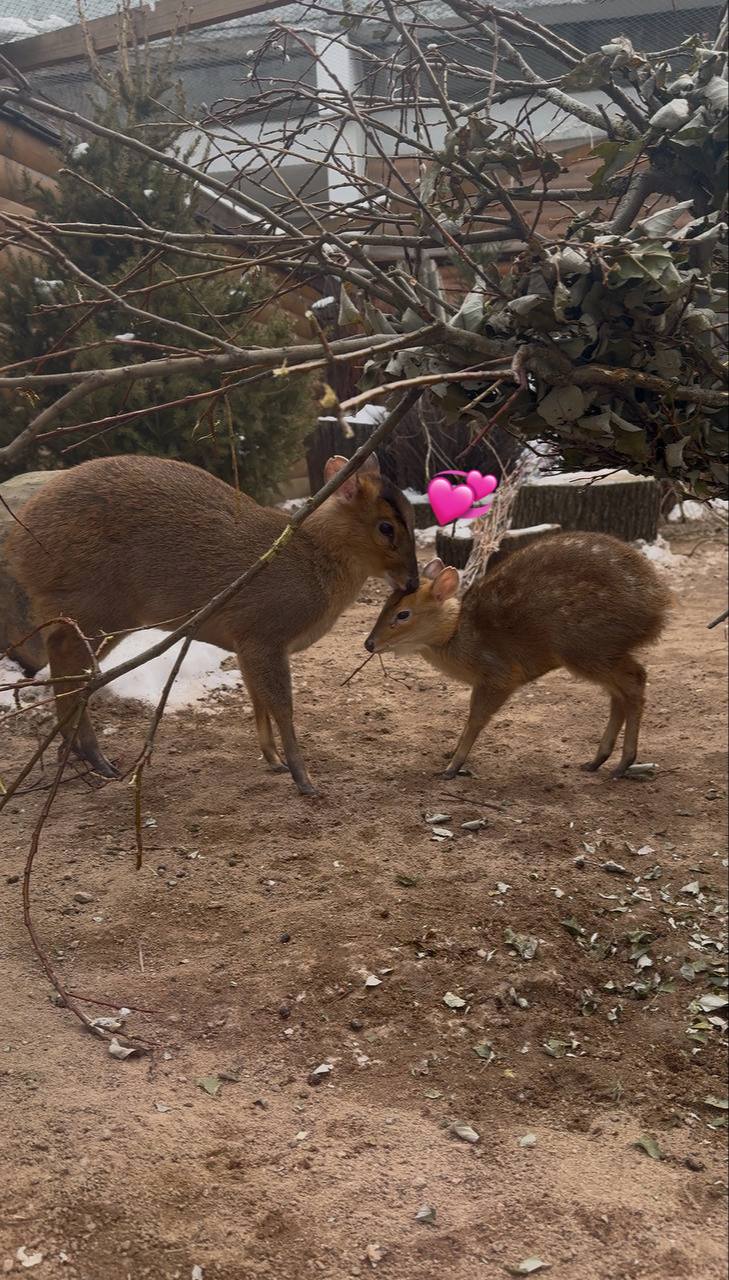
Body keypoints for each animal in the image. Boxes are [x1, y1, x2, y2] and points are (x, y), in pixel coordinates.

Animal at [5, 450, 416, 788]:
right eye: (386, 527)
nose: (412, 582)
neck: (313, 560)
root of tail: (17, 546)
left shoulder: (245, 643)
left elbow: (257, 700)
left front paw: (274, 760)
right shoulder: (264, 633)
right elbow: (281, 706)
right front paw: (304, 778)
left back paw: (79, 754)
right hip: (93, 604)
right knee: (67, 664)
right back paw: (93, 757)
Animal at [363, 529, 670, 778]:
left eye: (403, 614)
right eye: (386, 603)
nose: (369, 643)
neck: (460, 637)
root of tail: (659, 605)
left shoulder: (499, 675)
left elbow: (476, 718)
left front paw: (452, 766)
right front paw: (451, 754)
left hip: (587, 646)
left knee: (635, 680)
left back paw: (623, 763)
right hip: (599, 652)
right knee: (619, 693)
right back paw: (598, 761)